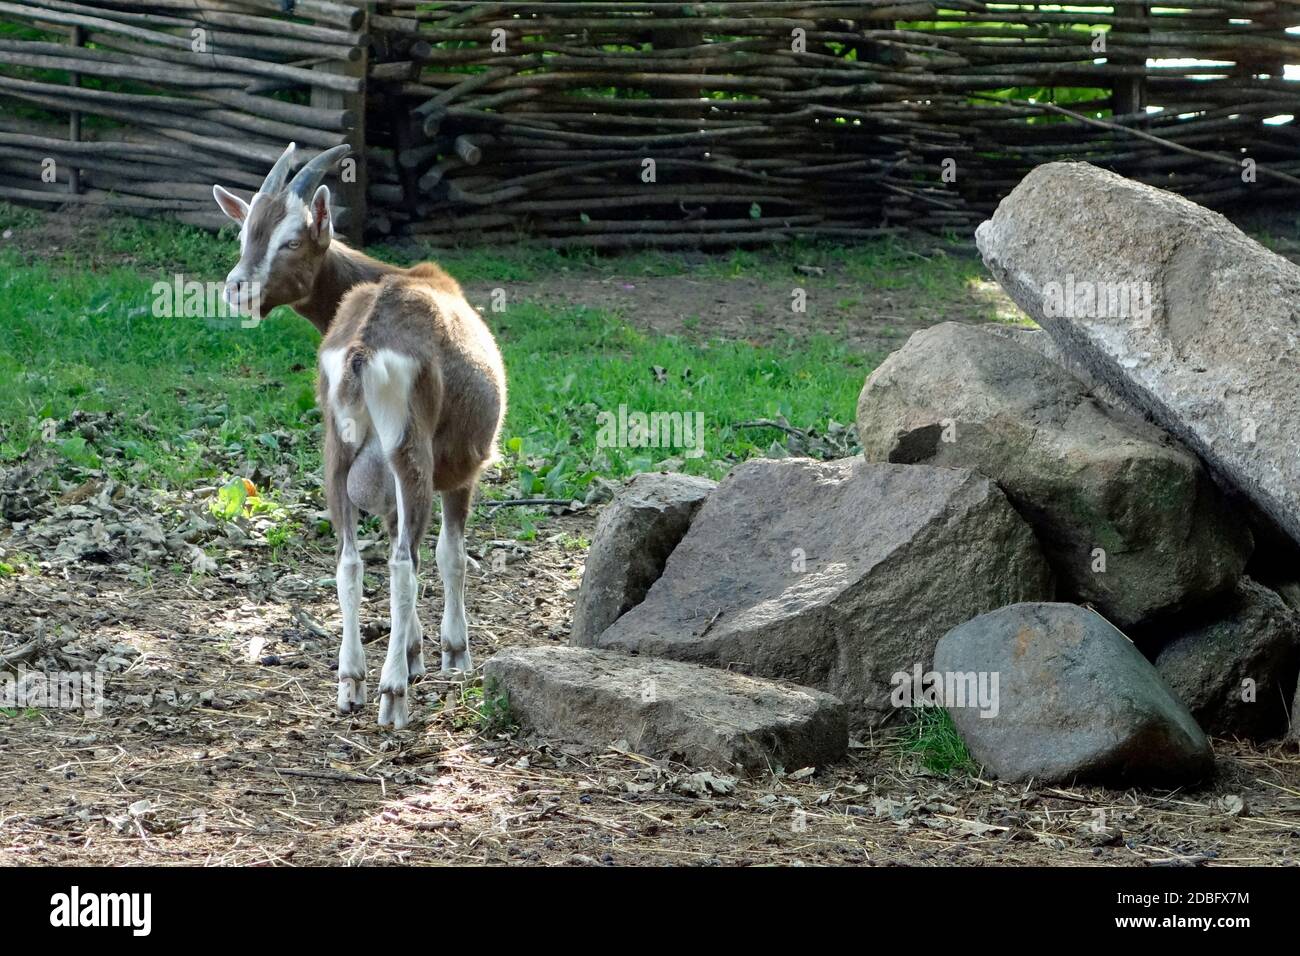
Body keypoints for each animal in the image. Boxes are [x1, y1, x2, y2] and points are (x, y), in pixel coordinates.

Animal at [212, 143, 506, 729]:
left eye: (290, 239)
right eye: (244, 234)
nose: (237, 289)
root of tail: (362, 347)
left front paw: (414, 651)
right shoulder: (464, 469)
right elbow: (449, 554)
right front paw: (452, 653)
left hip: (337, 452)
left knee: (349, 560)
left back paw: (351, 680)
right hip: (409, 452)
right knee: (401, 565)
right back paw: (393, 695)